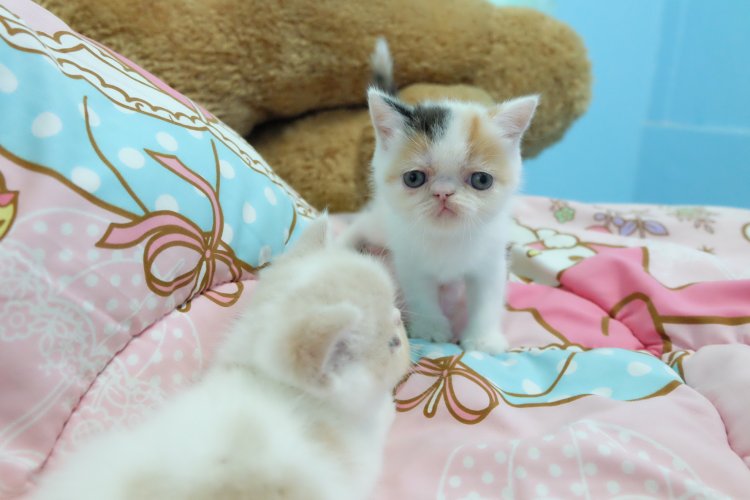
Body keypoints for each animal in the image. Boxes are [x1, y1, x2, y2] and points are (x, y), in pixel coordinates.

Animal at [32, 216, 411, 500]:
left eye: (397, 321)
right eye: (393, 343)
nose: (402, 326)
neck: (267, 379)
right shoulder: (357, 459)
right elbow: (380, 418)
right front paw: (389, 405)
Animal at [341, 38, 539, 355]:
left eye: (481, 180)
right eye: (414, 178)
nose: (443, 193)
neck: (447, 239)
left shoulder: (490, 261)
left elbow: (487, 298)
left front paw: (483, 338)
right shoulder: (410, 259)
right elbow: (422, 296)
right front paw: (432, 330)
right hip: (381, 221)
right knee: (359, 225)